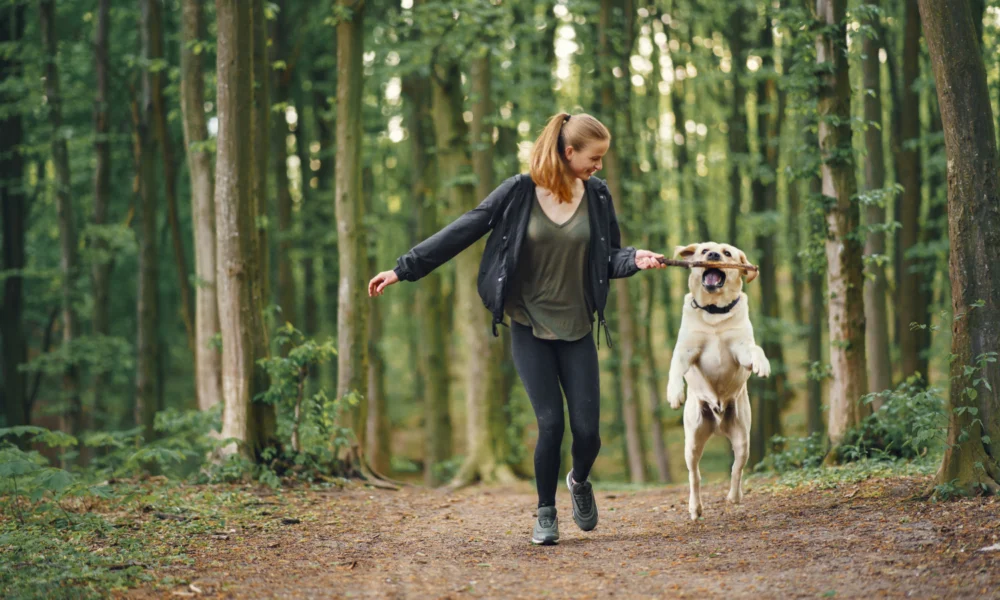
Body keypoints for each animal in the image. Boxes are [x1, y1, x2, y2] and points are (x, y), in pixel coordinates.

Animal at [664, 241, 772, 516]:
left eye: (727, 253)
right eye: (704, 251)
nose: (712, 255)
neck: (714, 312)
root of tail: (719, 422)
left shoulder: (741, 349)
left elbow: (756, 349)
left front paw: (763, 364)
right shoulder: (686, 350)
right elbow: (674, 368)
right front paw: (674, 393)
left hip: (743, 437)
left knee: (737, 468)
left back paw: (734, 496)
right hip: (692, 441)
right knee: (694, 476)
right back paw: (695, 508)